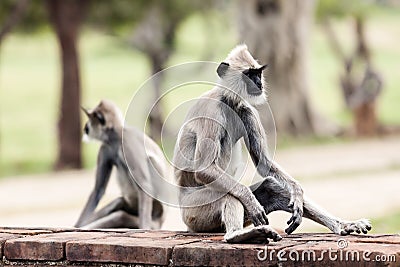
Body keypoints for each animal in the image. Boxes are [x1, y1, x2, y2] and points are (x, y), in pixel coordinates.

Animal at [75, 100, 166, 230]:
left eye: (90, 119)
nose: (86, 127)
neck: (116, 137)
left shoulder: (127, 142)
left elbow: (144, 184)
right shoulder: (105, 148)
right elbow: (98, 190)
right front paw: (76, 225)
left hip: (154, 217)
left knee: (120, 216)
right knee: (118, 203)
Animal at [173, 45, 372, 244]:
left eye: (258, 74)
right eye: (249, 74)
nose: (259, 84)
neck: (227, 99)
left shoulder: (246, 111)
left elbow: (264, 163)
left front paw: (297, 193)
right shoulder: (211, 112)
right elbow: (204, 169)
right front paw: (250, 201)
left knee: (271, 186)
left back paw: (342, 225)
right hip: (195, 212)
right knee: (228, 192)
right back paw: (237, 235)